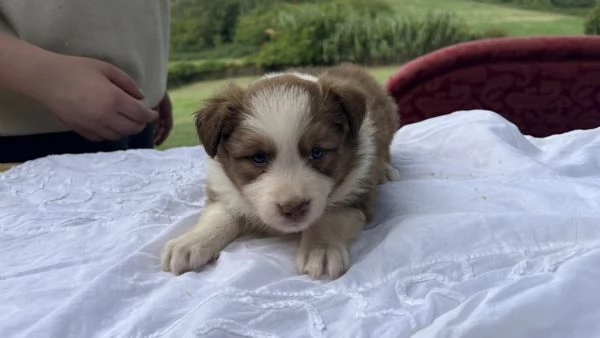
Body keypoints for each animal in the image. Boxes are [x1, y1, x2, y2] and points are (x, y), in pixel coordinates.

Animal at [162, 62, 400, 280]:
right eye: (258, 157)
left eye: (317, 152)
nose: (293, 208)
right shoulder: (225, 188)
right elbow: (219, 215)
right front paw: (190, 243)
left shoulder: (357, 192)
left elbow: (330, 216)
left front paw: (321, 249)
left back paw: (386, 170)